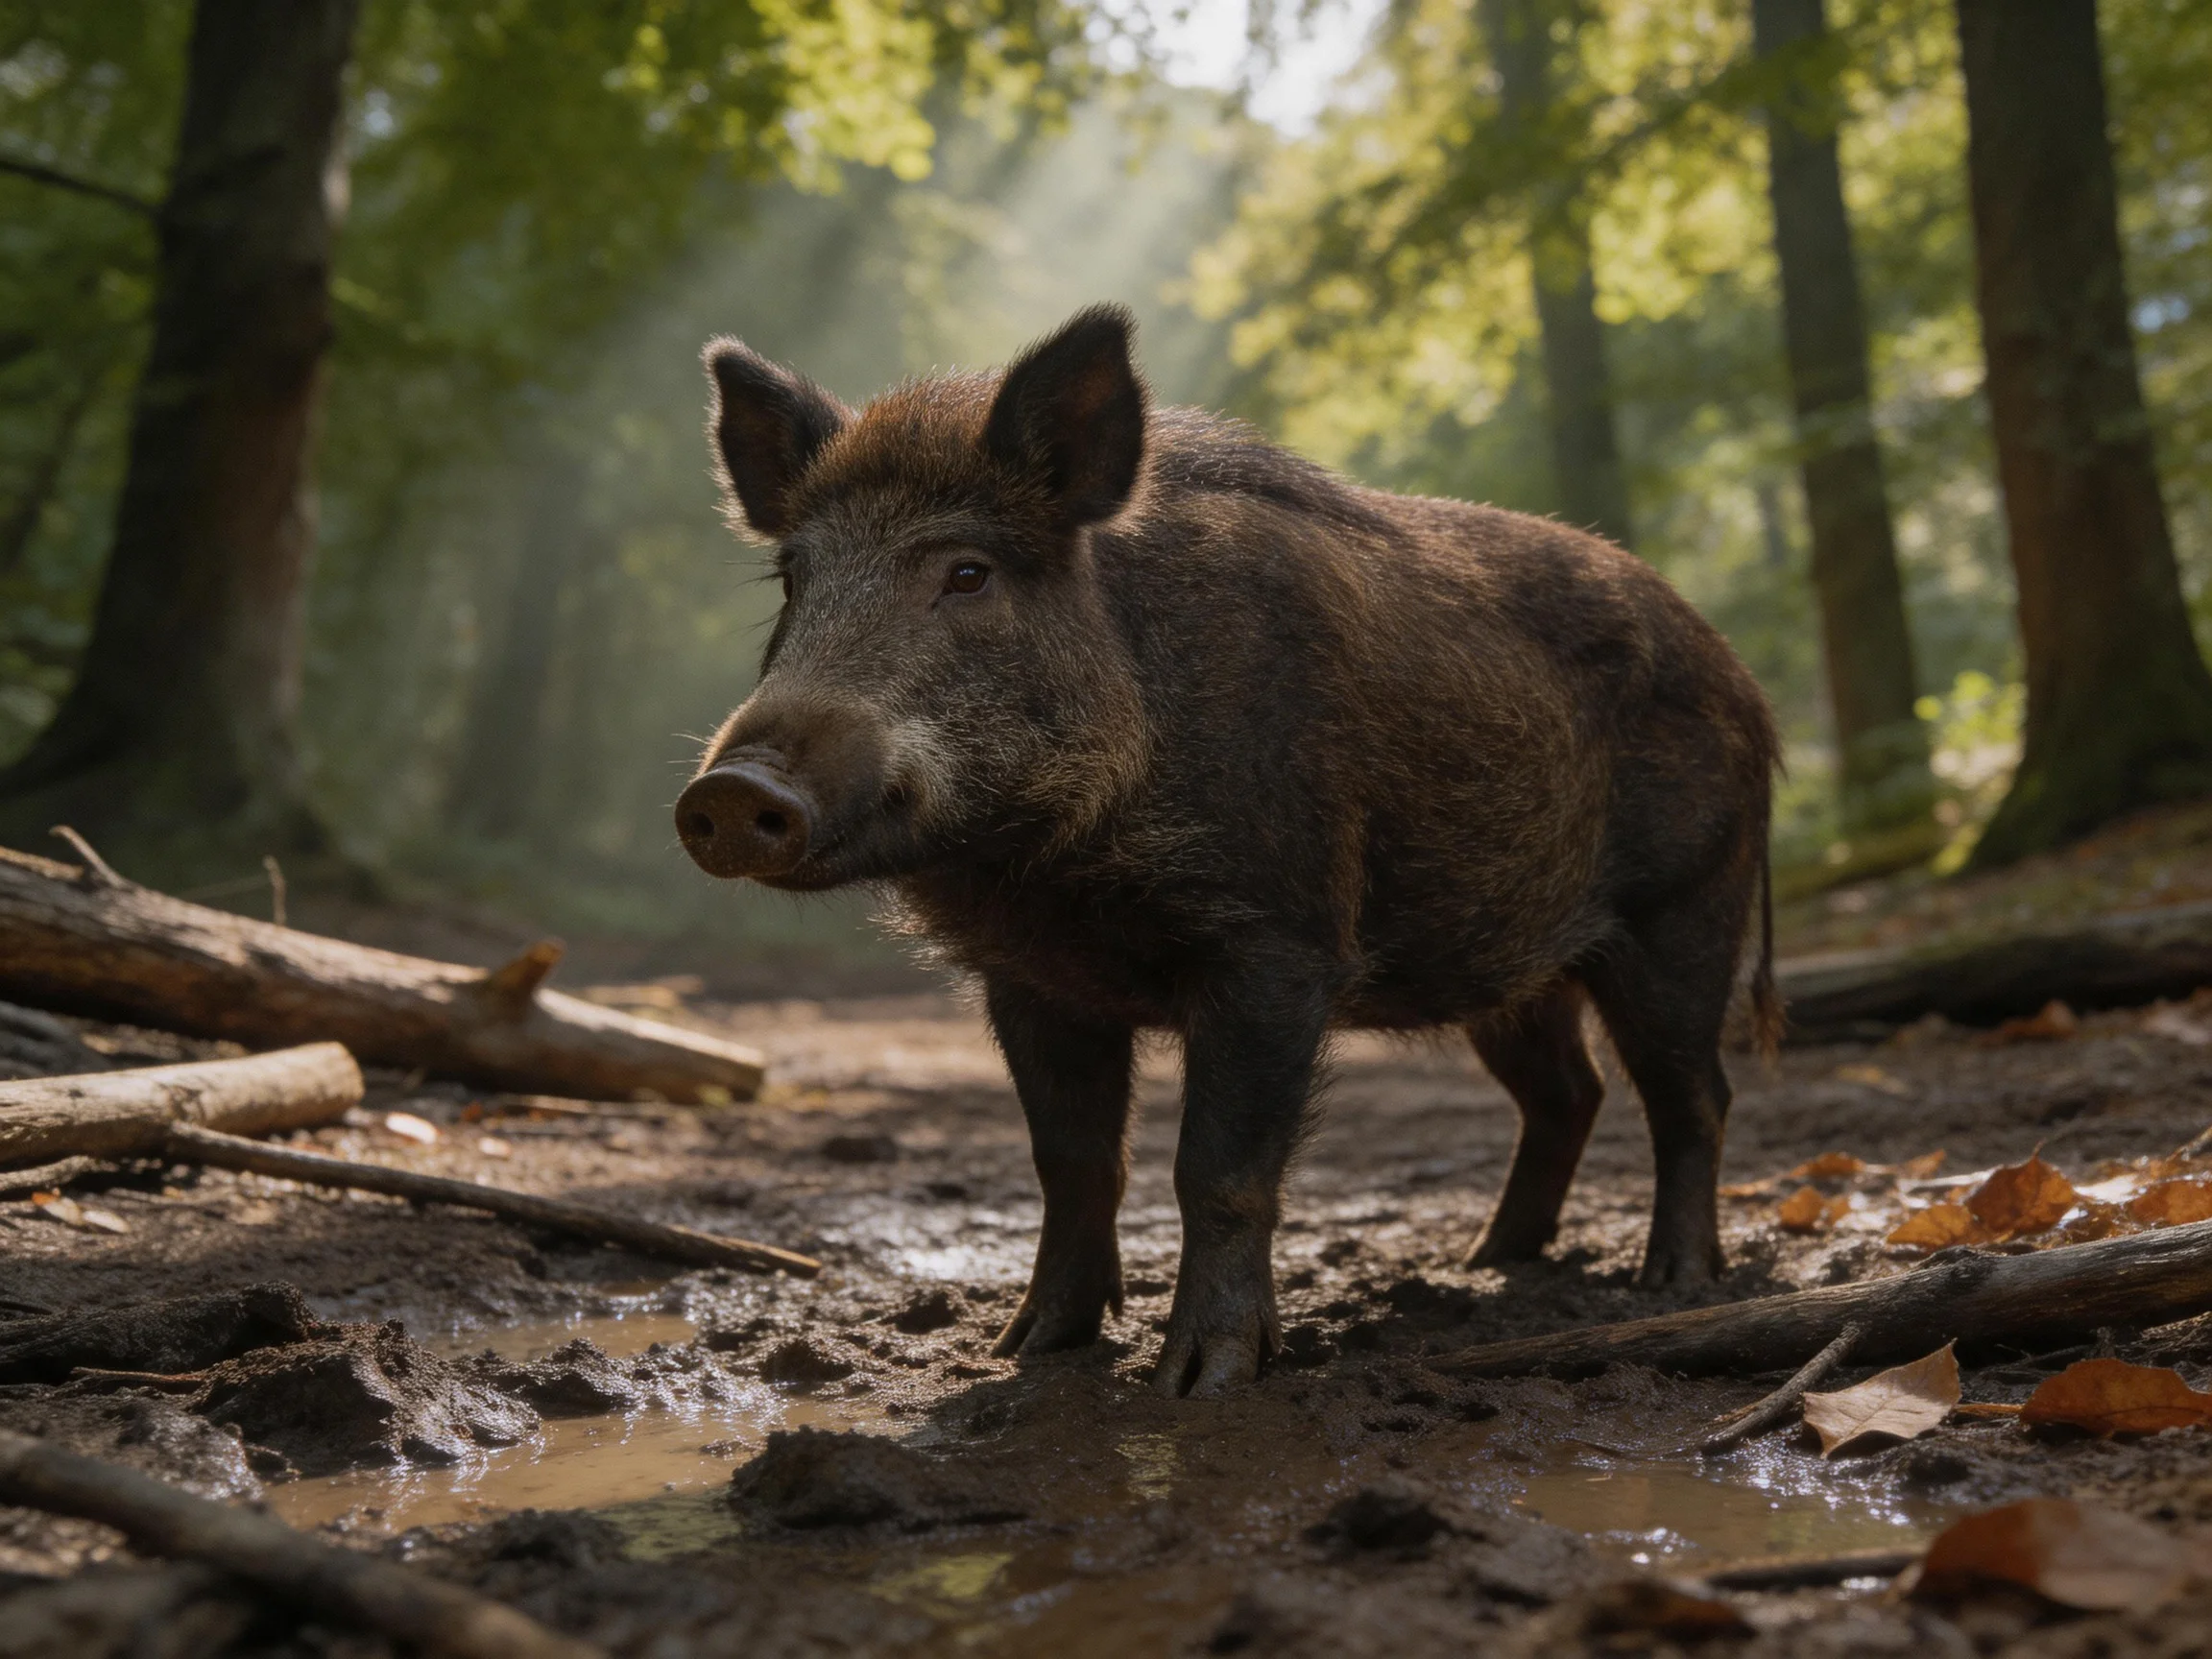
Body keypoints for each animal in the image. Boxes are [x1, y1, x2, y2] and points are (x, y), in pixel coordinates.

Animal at [675, 305, 1780, 1397]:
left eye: (967, 573)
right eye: (793, 579)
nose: (729, 791)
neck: (1053, 877)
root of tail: (1746, 686)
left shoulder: (1277, 942)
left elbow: (1219, 1168)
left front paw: (1203, 1381)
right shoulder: (1027, 978)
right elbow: (1071, 1162)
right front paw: (1026, 1351)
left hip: (1686, 910)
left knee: (1693, 1094)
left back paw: (1670, 1281)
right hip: (1508, 961)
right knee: (1569, 1094)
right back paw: (1487, 1262)